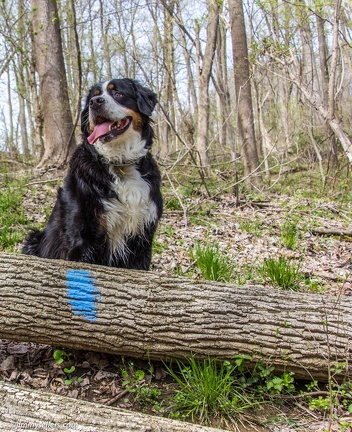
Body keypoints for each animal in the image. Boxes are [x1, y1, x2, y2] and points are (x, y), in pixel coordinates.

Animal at [22, 76, 163, 268]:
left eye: (118, 93)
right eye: (92, 97)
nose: (95, 102)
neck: (119, 163)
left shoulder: (142, 239)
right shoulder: (82, 238)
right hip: (34, 239)